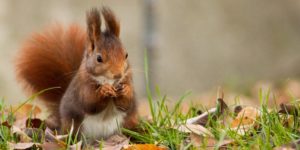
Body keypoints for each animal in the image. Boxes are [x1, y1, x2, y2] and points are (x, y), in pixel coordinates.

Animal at [15, 7, 138, 140]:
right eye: (99, 58)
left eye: (126, 55)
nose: (118, 75)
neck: (109, 81)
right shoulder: (82, 87)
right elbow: (90, 102)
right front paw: (103, 90)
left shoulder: (128, 80)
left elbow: (126, 104)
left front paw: (126, 90)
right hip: (74, 126)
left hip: (127, 122)